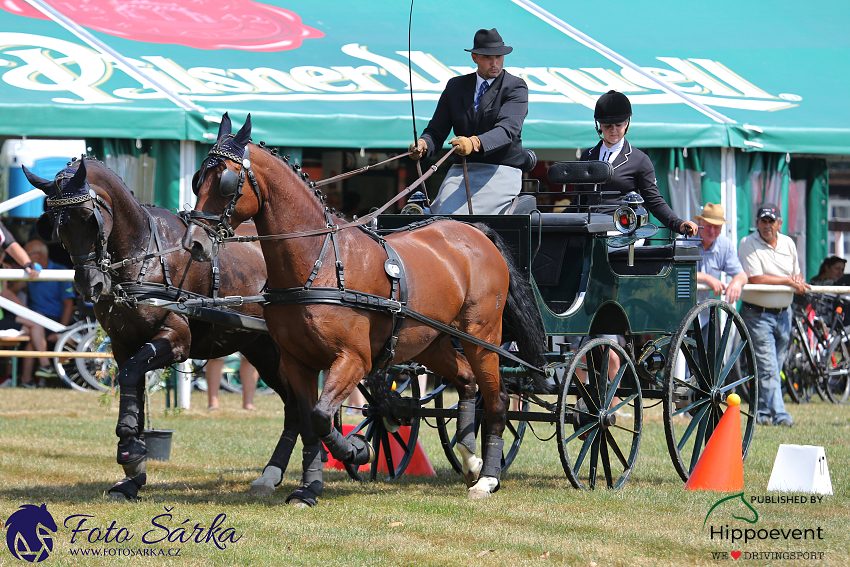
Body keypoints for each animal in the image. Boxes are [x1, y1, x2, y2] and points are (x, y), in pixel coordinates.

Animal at [21, 159, 306, 502]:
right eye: (54, 223)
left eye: (89, 218)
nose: (90, 285)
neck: (142, 256)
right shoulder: (123, 345)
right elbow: (133, 389)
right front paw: (132, 476)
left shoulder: (176, 341)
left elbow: (131, 375)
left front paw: (130, 452)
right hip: (262, 351)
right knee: (295, 406)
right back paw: (285, 470)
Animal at [182, 114, 548, 502]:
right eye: (198, 178)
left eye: (225, 181)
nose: (194, 242)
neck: (318, 264)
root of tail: (476, 231)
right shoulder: (297, 361)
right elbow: (309, 422)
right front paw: (308, 488)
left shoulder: (354, 359)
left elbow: (321, 416)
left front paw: (357, 450)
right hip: (431, 343)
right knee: (466, 382)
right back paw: (470, 459)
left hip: (482, 337)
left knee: (497, 399)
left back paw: (488, 478)